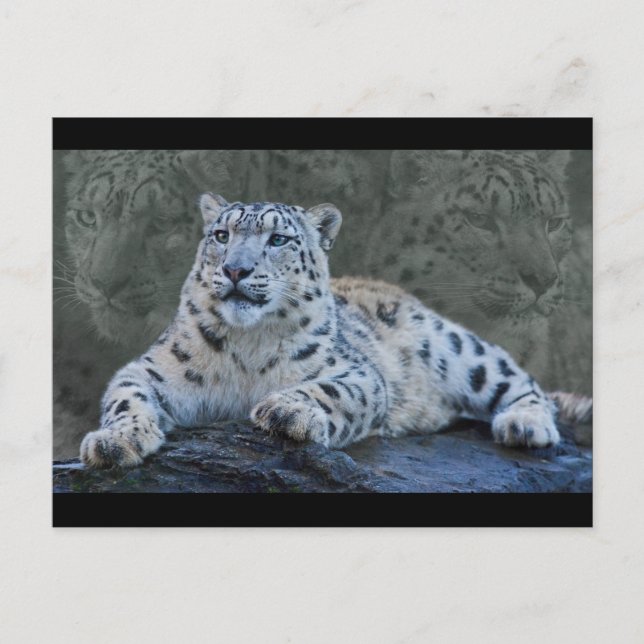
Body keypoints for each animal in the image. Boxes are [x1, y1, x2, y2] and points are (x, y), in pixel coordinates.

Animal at [79, 194, 590, 469]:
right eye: (221, 235)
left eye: (278, 239)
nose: (236, 269)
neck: (248, 345)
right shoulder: (151, 369)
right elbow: (126, 397)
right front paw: (114, 441)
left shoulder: (359, 373)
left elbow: (331, 390)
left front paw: (287, 410)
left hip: (460, 349)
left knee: (518, 378)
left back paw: (524, 424)